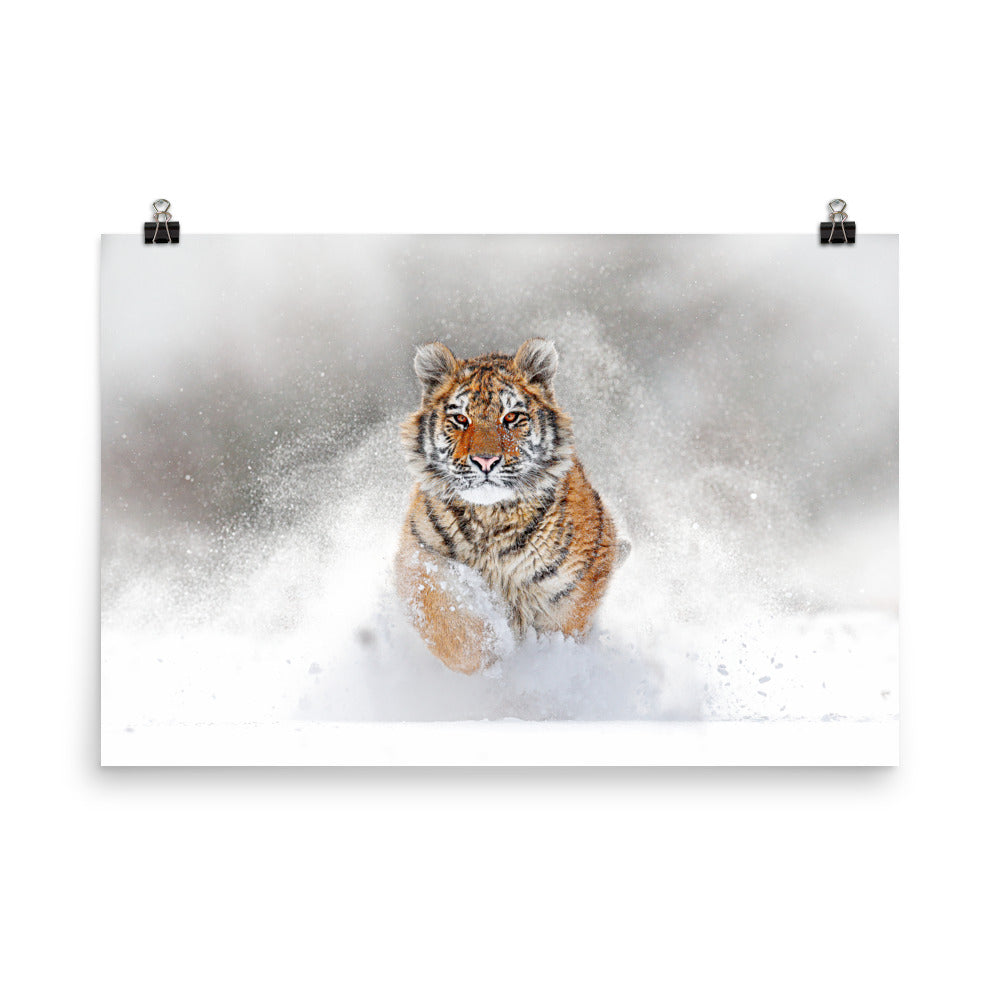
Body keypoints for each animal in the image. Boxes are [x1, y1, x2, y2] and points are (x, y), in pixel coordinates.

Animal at [394, 337, 630, 674]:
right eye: (461, 419)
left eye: (510, 417)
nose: (485, 461)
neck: (490, 517)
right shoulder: (418, 556)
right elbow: (446, 616)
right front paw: (491, 649)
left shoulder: (574, 587)